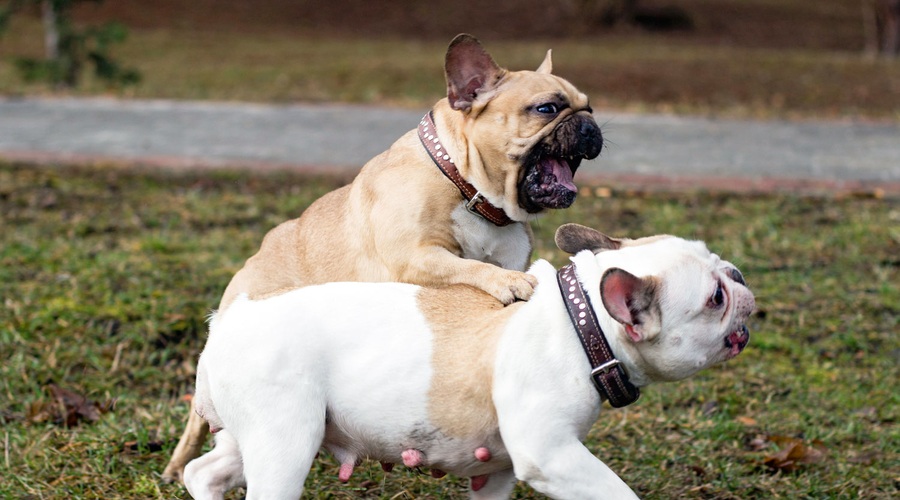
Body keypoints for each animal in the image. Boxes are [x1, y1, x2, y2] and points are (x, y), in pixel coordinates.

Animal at [164, 32, 604, 484]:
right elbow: (468, 266)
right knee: (199, 418)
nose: (590, 125)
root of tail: (258, 256)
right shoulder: (415, 259)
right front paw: (507, 283)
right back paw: (176, 465)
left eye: (588, 106)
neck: (471, 192)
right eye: (546, 108)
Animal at [181, 226, 752, 500]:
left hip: (256, 434)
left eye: (721, 266)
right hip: (286, 440)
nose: (739, 274)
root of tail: (226, 323)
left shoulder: (495, 473)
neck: (582, 319)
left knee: (203, 472)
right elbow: (617, 493)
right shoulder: (550, 454)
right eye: (715, 299)